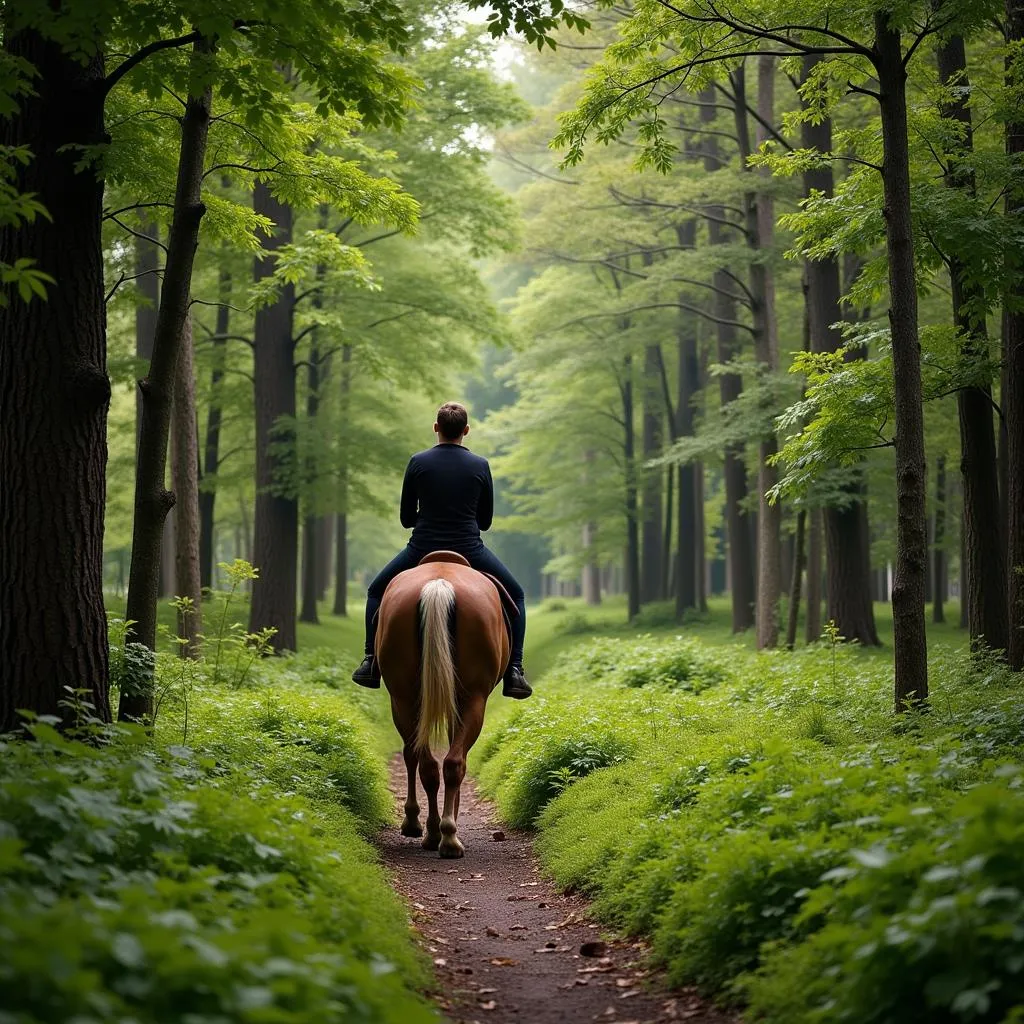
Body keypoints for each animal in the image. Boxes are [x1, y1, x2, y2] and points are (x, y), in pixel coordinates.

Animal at [374, 552, 509, 856]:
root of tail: (439, 584)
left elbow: (416, 754)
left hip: (404, 698)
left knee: (429, 762)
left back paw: (438, 833)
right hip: (471, 698)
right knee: (449, 762)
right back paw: (445, 835)